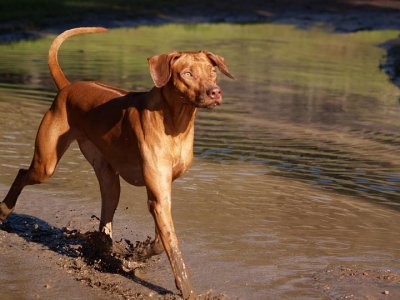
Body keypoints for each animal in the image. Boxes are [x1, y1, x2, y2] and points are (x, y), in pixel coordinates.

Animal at [0, 27, 234, 298]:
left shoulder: (163, 191)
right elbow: (172, 246)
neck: (176, 122)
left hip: (108, 177)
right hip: (45, 164)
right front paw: (186, 288)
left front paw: (137, 255)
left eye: (212, 72)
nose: (214, 92)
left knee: (107, 210)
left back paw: (103, 248)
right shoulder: (158, 195)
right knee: (22, 173)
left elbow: (160, 240)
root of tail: (68, 87)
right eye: (187, 74)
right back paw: (4, 210)